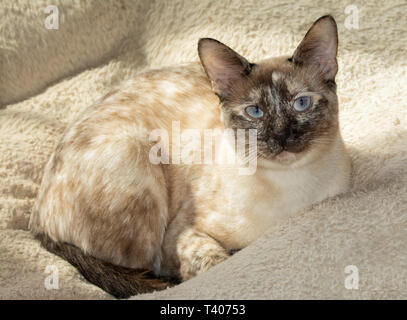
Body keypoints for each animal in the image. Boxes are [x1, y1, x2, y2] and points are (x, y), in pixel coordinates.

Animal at [30, 15, 352, 298]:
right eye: (255, 112)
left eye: (301, 104)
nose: (281, 136)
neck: (289, 192)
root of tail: (36, 221)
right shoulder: (178, 239)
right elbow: (214, 265)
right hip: (136, 155)